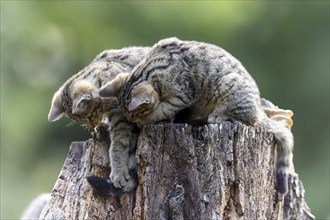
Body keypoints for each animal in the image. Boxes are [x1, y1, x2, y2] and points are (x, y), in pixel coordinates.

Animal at [47, 46, 150, 194]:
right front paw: (102, 126)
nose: (92, 125)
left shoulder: (120, 115)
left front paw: (118, 172)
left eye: (89, 115)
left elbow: (118, 144)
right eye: (82, 121)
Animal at [98, 37, 294, 194]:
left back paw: (219, 115)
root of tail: (259, 108)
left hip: (227, 85)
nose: (134, 123)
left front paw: (146, 120)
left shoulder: (180, 96)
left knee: (249, 118)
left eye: (138, 114)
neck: (150, 69)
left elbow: (160, 110)